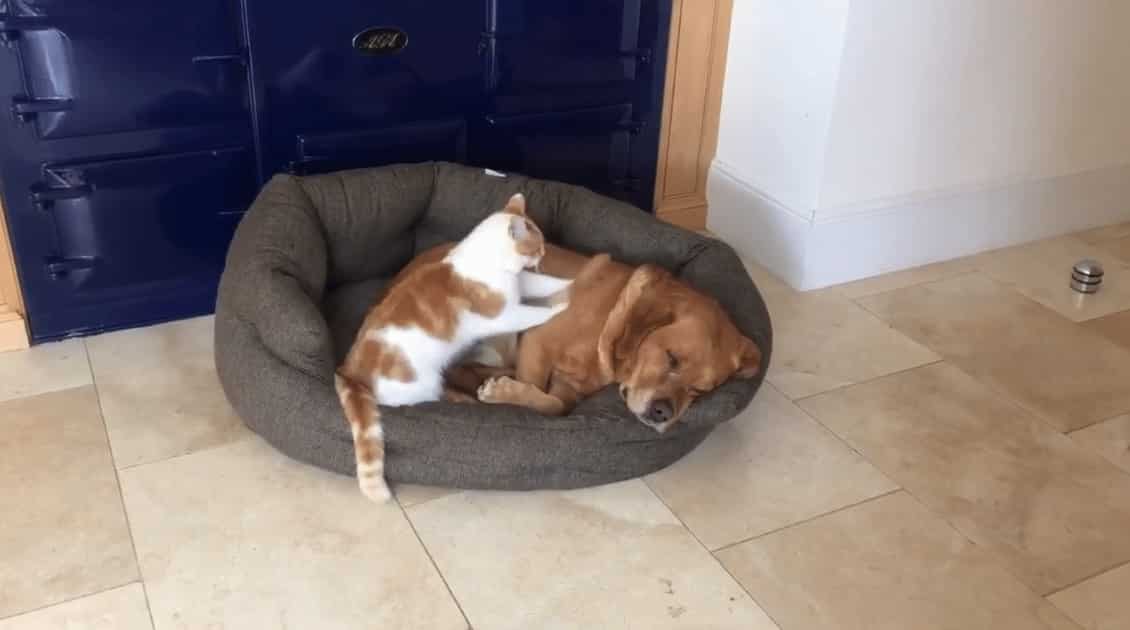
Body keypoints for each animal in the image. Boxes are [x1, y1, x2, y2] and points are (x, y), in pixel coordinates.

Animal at [332, 195, 565, 501]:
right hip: (424, 384)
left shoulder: (524, 285)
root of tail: (351, 368)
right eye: (537, 245)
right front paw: (563, 307)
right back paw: (466, 398)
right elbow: (535, 314)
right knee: (437, 397)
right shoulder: (506, 315)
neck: (484, 261)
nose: (544, 254)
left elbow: (549, 284)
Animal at [384, 242, 763, 433]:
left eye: (700, 391)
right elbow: (535, 391)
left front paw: (508, 392)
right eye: (671, 357)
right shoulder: (537, 343)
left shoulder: (570, 387)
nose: (662, 413)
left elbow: (556, 405)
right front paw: (508, 395)